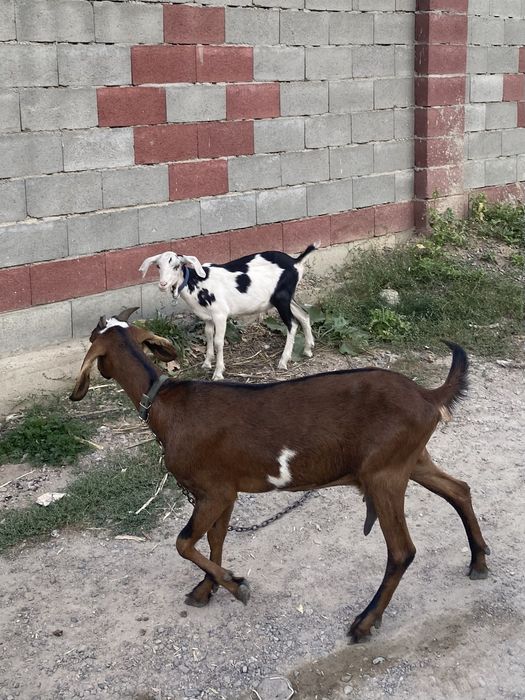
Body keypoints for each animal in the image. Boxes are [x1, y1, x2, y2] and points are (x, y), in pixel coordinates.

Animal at [70, 308, 490, 642]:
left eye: (92, 339)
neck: (164, 404)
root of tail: (429, 396)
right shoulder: (225, 490)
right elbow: (216, 539)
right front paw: (207, 589)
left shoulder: (214, 490)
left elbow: (185, 542)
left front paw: (236, 586)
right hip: (411, 460)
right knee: (459, 489)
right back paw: (479, 562)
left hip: (384, 474)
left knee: (402, 551)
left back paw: (365, 622)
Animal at [138, 245, 317, 380]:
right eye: (158, 266)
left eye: (176, 266)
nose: (162, 284)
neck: (197, 283)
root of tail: (295, 262)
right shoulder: (208, 317)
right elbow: (208, 335)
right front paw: (206, 363)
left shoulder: (220, 314)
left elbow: (219, 341)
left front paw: (218, 372)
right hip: (285, 298)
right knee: (304, 314)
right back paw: (308, 349)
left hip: (282, 298)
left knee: (292, 324)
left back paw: (283, 361)